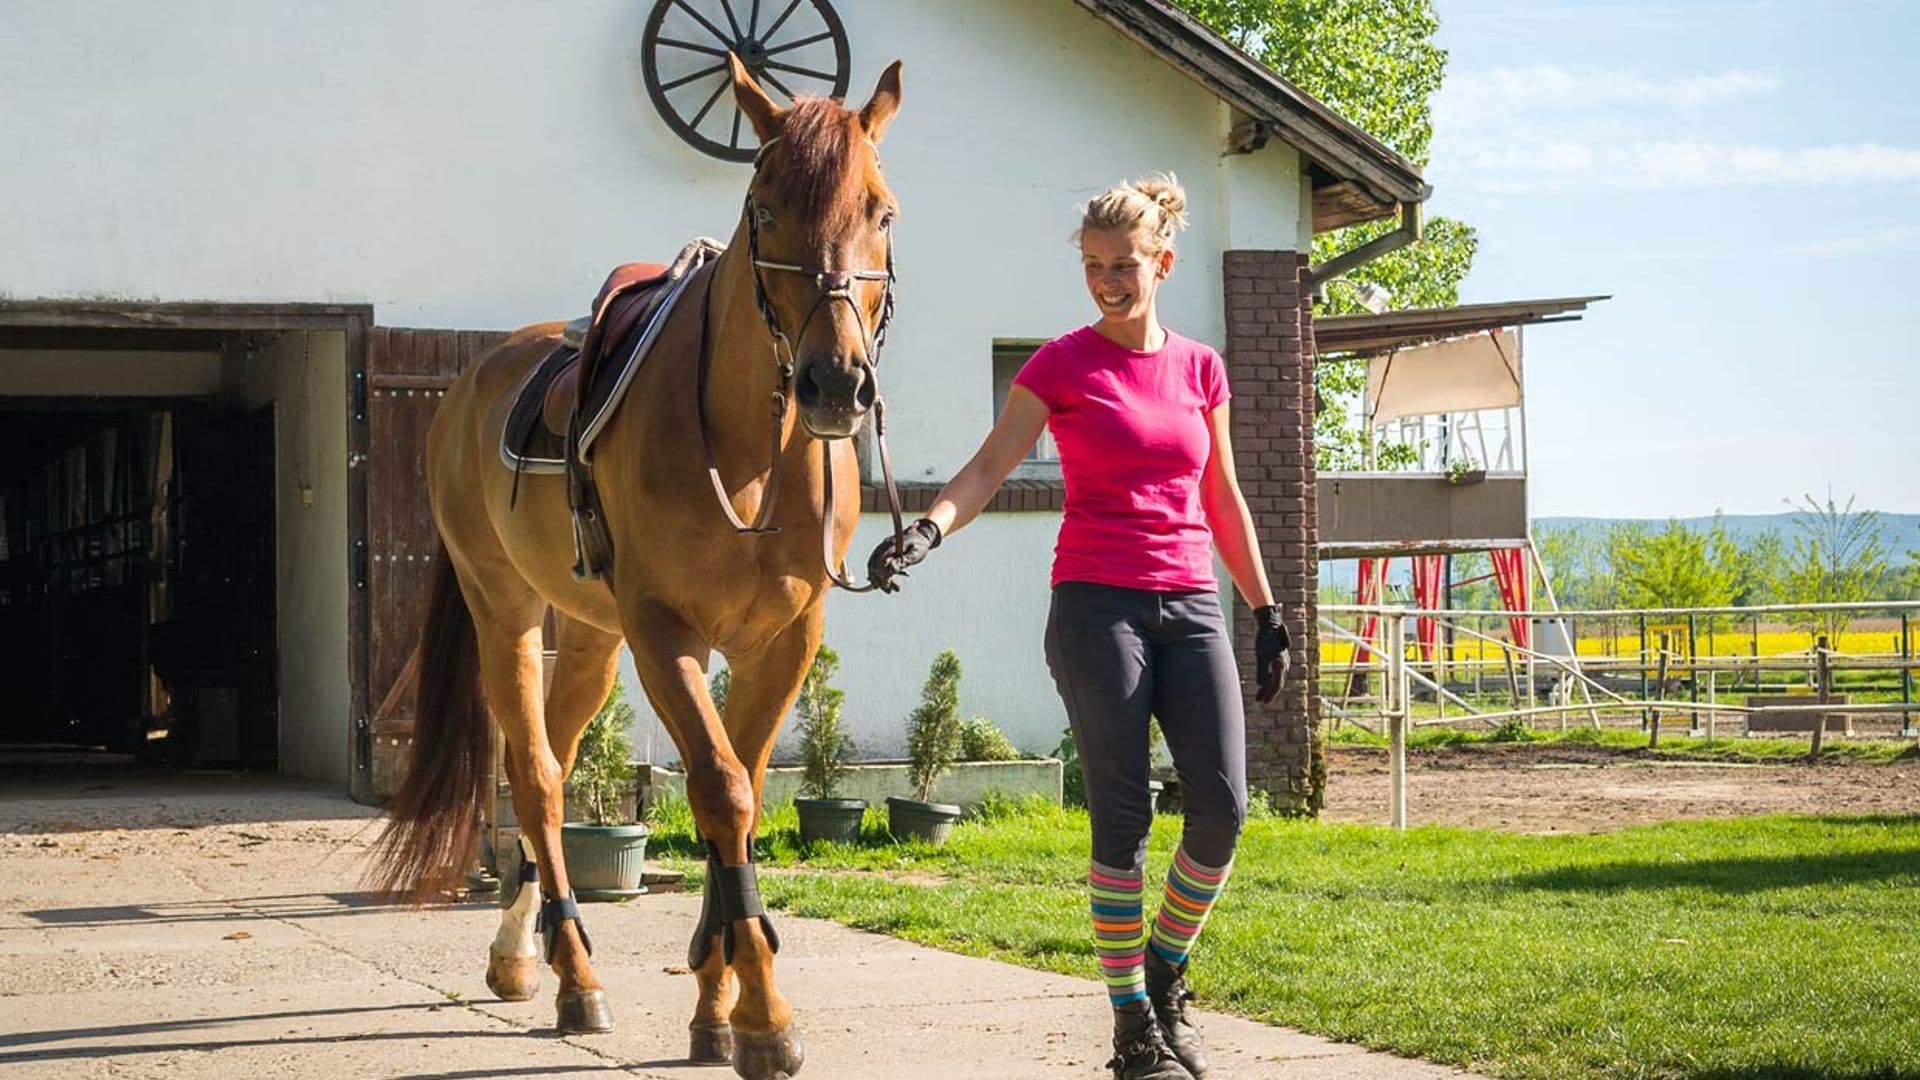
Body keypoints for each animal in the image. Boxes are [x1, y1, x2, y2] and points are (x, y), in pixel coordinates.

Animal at [380, 58, 906, 1076]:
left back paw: (521, 955)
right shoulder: (667, 633)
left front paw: (715, 998)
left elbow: (738, 791)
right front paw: (763, 1017)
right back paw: (576, 976)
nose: (836, 385)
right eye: (765, 210)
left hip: (589, 637)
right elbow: (723, 792)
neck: (752, 450)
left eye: (882, 211)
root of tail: (467, 387)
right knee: (536, 776)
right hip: (506, 612)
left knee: (555, 756)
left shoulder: (783, 640)